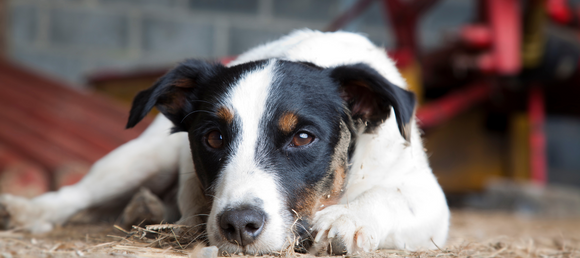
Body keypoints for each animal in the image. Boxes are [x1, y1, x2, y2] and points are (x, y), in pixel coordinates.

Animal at [0, 29, 450, 254]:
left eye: (303, 137)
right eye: (214, 138)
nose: (238, 225)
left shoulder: (428, 200)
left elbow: (388, 197)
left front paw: (348, 219)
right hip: (142, 158)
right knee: (78, 194)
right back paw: (29, 211)